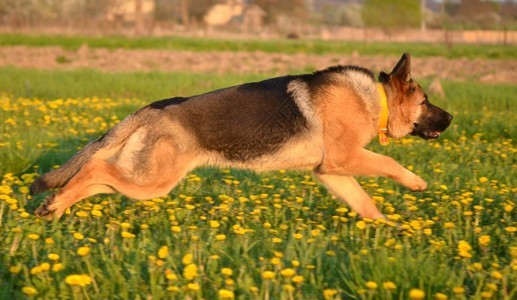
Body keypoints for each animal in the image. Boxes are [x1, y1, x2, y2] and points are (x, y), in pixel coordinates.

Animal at [32, 52, 452, 219]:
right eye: (426, 101)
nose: (451, 118)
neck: (375, 99)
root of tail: (150, 108)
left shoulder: (331, 171)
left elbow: (366, 204)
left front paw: (390, 229)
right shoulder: (345, 159)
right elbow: (390, 161)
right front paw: (416, 183)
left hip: (142, 177)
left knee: (95, 174)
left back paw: (54, 206)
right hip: (152, 181)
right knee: (95, 170)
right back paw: (56, 204)